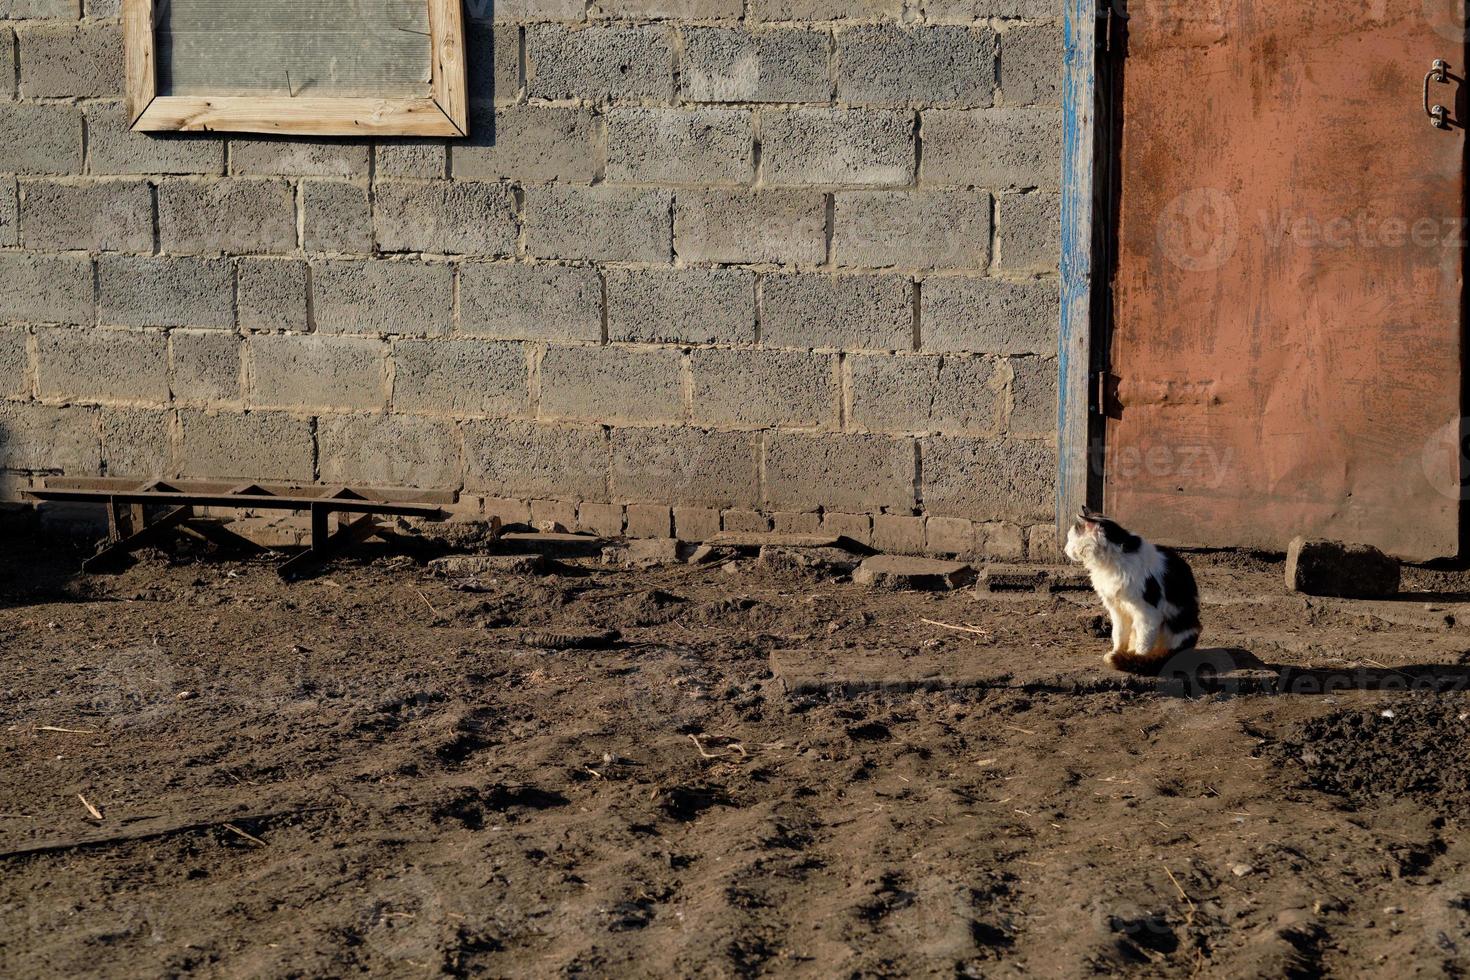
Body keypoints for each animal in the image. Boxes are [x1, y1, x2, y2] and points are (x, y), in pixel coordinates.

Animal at [1064, 514, 1199, 675]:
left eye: (1070, 539)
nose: (1065, 549)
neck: (1112, 561)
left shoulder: (1147, 613)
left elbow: (1144, 642)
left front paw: (1138, 659)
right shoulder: (1117, 609)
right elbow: (1118, 635)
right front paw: (1117, 653)